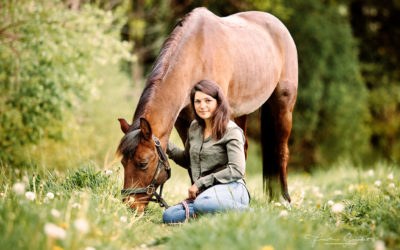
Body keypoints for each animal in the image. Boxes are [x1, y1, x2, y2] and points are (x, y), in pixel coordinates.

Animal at [115, 6, 296, 212]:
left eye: (143, 163)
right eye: (123, 162)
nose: (129, 206)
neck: (196, 55)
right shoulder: (184, 122)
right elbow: (192, 163)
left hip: (283, 105)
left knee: (281, 151)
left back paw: (284, 200)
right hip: (239, 112)